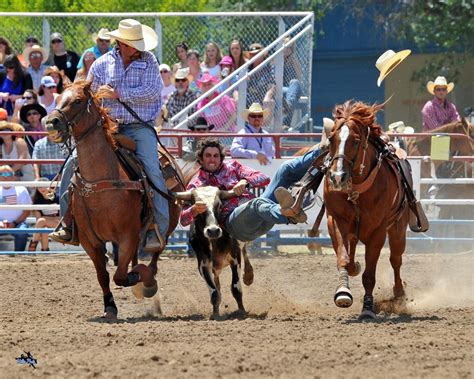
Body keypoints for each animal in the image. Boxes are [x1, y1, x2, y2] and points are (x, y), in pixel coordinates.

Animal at [45, 82, 183, 320]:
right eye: (59, 97)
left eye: (78, 101)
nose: (51, 122)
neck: (100, 182)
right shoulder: (90, 241)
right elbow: (103, 275)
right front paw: (110, 306)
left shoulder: (127, 235)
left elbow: (121, 275)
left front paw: (140, 280)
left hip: (165, 227)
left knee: (155, 255)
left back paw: (148, 282)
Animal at [324, 101, 410, 320]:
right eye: (331, 138)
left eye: (355, 141)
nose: (337, 177)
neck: (357, 192)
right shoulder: (335, 220)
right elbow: (343, 259)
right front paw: (343, 292)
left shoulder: (378, 232)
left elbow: (369, 275)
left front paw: (368, 308)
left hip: (398, 230)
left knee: (395, 260)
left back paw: (399, 295)